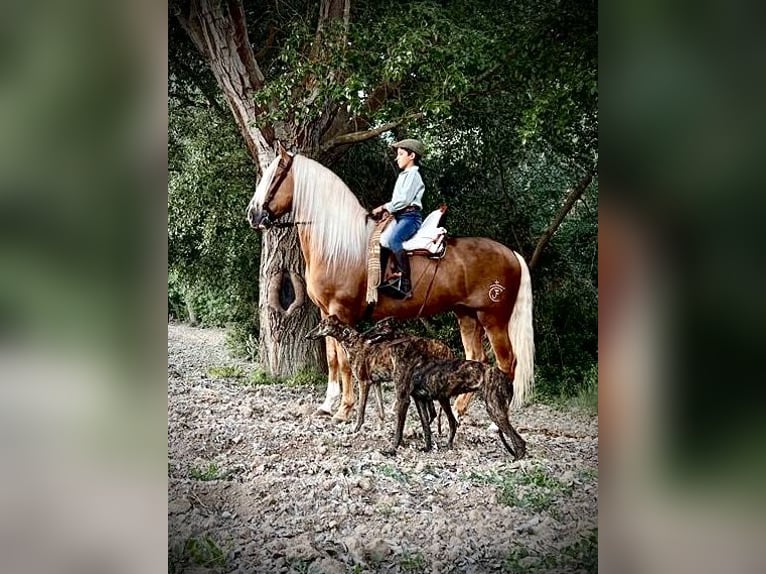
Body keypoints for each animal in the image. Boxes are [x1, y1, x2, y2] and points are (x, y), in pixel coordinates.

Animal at [249, 148, 536, 424]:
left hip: (493, 318)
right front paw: (328, 405)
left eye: (275, 177)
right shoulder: (325, 313)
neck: (337, 246)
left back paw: (494, 421)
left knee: (507, 362)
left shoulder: (341, 312)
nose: (253, 214)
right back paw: (457, 410)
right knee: (476, 357)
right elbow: (332, 358)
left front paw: (344, 409)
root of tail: (511, 253)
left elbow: (344, 361)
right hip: (466, 314)